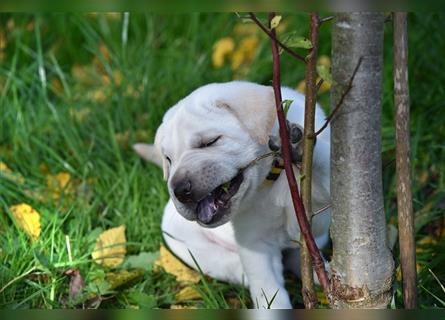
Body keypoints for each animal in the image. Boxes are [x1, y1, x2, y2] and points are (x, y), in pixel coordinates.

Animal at [134, 81, 332, 308]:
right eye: (168, 159)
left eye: (210, 142)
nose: (180, 190)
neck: (271, 176)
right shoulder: (254, 242)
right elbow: (268, 290)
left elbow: (324, 164)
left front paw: (295, 146)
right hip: (184, 242)